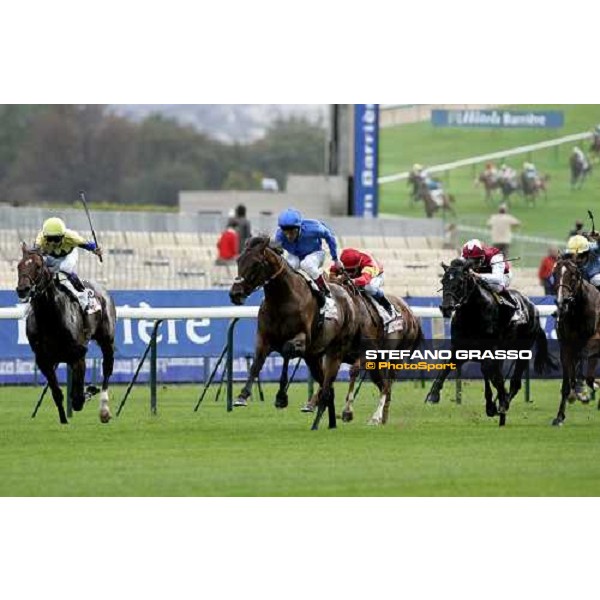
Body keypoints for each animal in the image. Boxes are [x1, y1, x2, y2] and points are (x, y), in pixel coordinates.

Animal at [15, 243, 116, 422]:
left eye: (38, 266)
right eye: (19, 266)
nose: (23, 289)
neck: (50, 318)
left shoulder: (78, 355)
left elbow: (77, 398)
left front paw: (89, 391)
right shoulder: (44, 360)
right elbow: (57, 394)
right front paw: (63, 420)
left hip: (106, 339)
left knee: (107, 368)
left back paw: (104, 410)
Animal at [230, 237, 360, 428]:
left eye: (255, 263)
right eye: (238, 260)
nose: (235, 294)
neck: (281, 300)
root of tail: (349, 297)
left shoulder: (301, 338)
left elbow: (286, 352)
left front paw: (281, 397)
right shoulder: (263, 339)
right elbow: (256, 364)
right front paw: (242, 396)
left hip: (335, 351)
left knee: (328, 383)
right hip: (313, 357)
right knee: (328, 387)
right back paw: (330, 423)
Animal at [424, 258, 556, 426]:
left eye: (460, 282)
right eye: (443, 280)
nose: (446, 307)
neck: (472, 314)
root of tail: (534, 308)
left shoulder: (490, 350)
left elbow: (489, 372)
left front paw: (496, 403)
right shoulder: (460, 348)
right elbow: (447, 366)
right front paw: (433, 394)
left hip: (523, 350)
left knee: (515, 382)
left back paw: (504, 404)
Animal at [552, 255, 600, 424]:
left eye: (573, 275)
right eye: (555, 273)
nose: (562, 301)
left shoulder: (593, 341)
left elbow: (584, 363)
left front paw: (582, 393)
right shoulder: (566, 345)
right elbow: (567, 381)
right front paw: (559, 416)